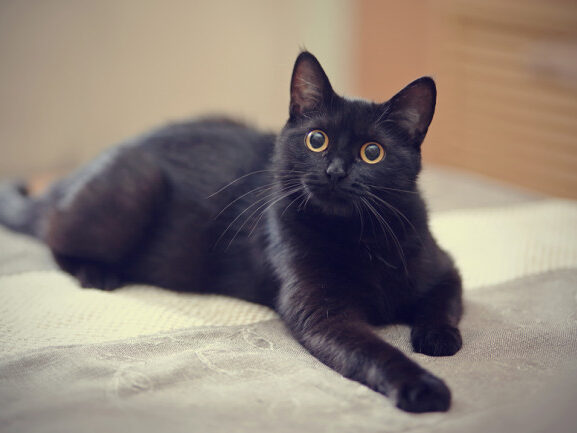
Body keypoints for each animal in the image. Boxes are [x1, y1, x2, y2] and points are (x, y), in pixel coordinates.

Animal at [0, 51, 462, 412]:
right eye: (316, 140)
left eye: (372, 153)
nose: (334, 171)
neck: (357, 236)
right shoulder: (323, 313)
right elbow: (375, 351)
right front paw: (422, 387)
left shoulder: (445, 266)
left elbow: (443, 300)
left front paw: (438, 337)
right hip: (131, 191)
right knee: (52, 231)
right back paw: (97, 273)